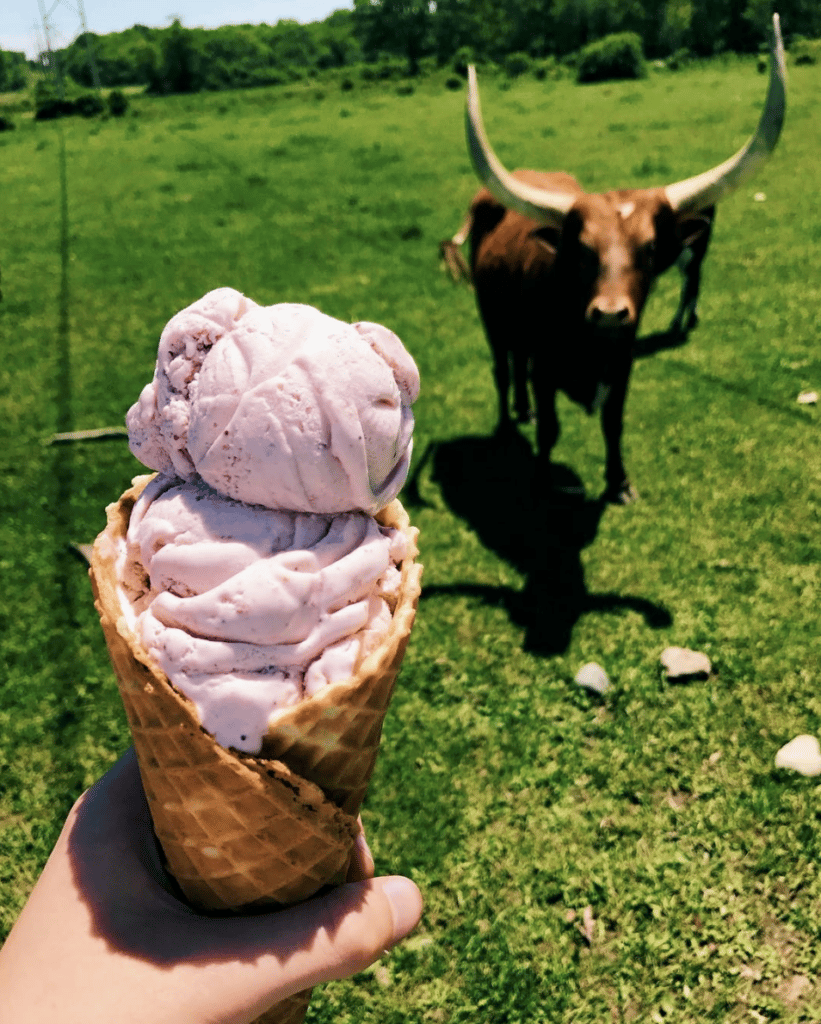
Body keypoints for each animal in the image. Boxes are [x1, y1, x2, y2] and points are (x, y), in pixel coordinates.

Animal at [444, 12, 782, 499]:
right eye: (582, 250)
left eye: (651, 249)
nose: (608, 314)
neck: (590, 348)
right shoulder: (546, 371)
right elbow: (549, 429)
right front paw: (542, 480)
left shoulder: (622, 370)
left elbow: (613, 424)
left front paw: (619, 481)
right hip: (491, 319)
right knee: (503, 369)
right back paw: (511, 420)